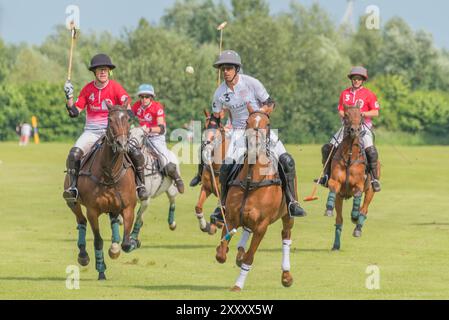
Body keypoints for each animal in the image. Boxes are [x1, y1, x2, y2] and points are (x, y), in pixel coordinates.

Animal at [62, 105, 136, 280]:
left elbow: (126, 243)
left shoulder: (128, 207)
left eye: (128, 119)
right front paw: (101, 270)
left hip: (114, 206)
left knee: (114, 221)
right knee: (81, 221)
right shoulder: (92, 211)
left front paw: (120, 248)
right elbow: (98, 241)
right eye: (110, 119)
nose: (122, 144)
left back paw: (114, 247)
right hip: (72, 202)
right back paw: (83, 255)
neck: (110, 173)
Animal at [214, 106, 294, 292]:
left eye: (268, 123)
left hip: (288, 215)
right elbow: (221, 253)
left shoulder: (261, 226)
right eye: (247, 122)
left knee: (286, 236)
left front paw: (237, 285)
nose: (254, 146)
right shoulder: (231, 217)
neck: (251, 180)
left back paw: (286, 276)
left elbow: (249, 257)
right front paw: (228, 251)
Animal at [324, 104, 380, 250]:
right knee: (339, 220)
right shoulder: (335, 181)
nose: (354, 130)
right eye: (346, 115)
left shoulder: (359, 185)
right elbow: (332, 188)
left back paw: (358, 227)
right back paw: (336, 244)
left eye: (360, 114)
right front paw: (328, 208)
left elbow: (358, 197)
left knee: (364, 209)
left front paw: (354, 216)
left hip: (371, 191)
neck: (349, 156)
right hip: (340, 197)